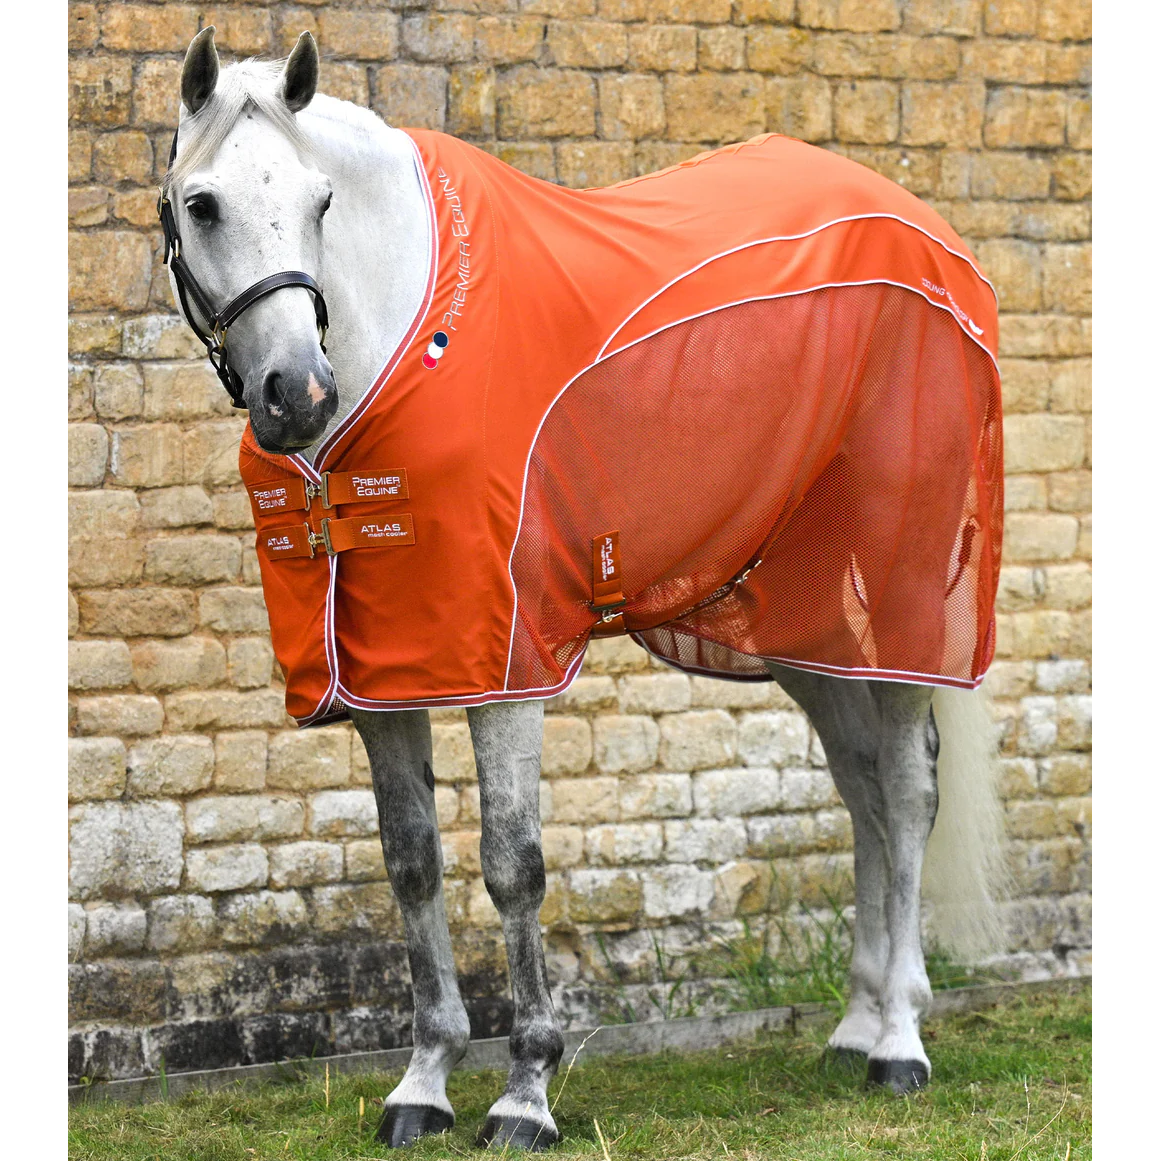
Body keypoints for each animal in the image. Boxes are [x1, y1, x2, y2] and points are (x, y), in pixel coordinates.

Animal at [159, 27, 1008, 1151]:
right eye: (202, 202)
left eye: (322, 201)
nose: (296, 393)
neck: (408, 347)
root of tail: (931, 236)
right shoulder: (384, 675)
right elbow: (411, 862)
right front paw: (423, 1083)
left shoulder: (505, 662)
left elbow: (511, 865)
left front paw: (525, 1091)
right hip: (805, 624)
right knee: (864, 789)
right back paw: (857, 1026)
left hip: (901, 599)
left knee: (907, 794)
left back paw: (900, 1044)